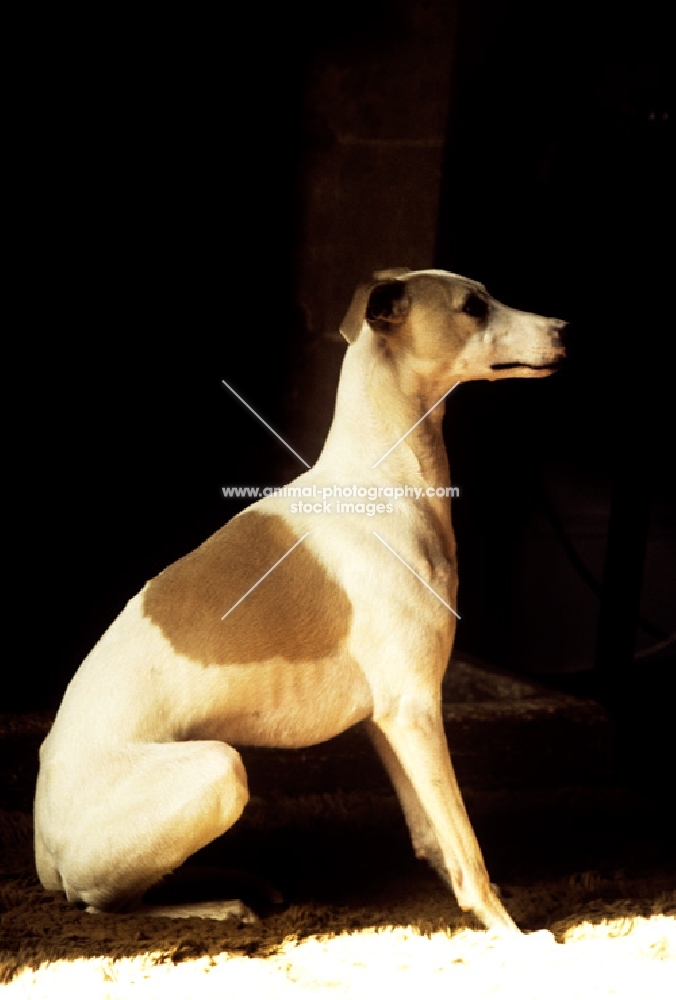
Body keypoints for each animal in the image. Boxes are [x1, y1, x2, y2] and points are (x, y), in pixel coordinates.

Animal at [33, 266, 564, 928]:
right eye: (473, 306)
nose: (564, 330)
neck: (384, 480)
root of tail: (43, 851)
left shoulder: (388, 718)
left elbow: (432, 835)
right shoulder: (415, 707)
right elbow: (467, 847)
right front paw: (511, 932)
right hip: (219, 769)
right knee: (108, 908)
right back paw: (222, 905)